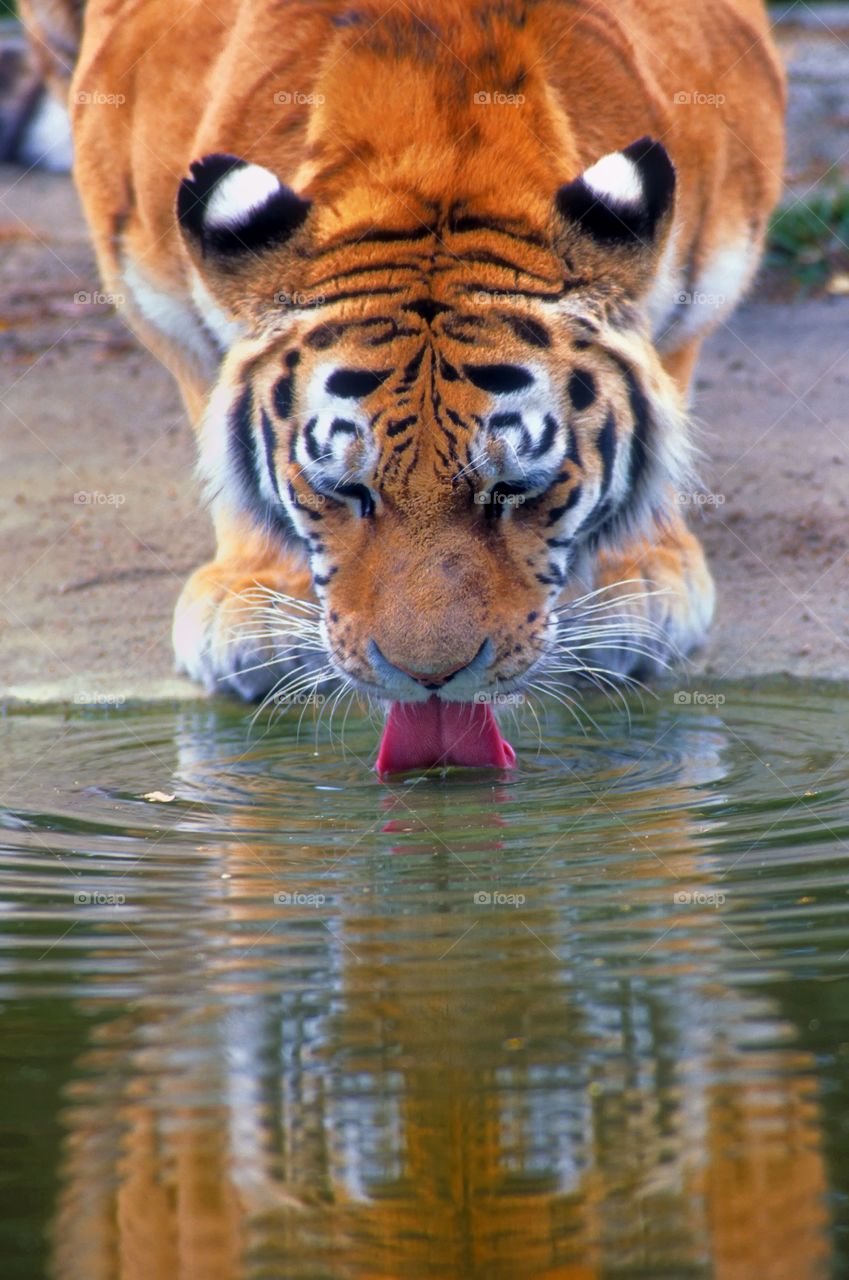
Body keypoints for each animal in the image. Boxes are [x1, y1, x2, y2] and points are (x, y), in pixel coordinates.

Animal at [21, 0, 788, 773]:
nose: (430, 679)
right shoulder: (146, 273)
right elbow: (213, 396)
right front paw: (255, 602)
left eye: (512, 490)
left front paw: (635, 583)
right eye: (344, 491)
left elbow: (668, 382)